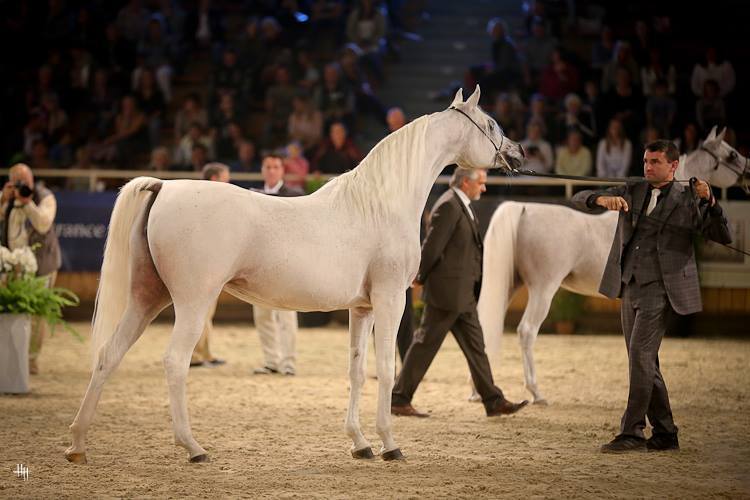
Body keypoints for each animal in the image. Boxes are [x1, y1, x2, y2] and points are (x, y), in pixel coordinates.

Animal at [64, 85, 525, 464]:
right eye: (490, 124)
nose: (518, 152)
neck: (381, 203)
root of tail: (164, 187)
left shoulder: (362, 308)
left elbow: (357, 370)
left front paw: (360, 444)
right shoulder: (391, 298)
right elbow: (387, 368)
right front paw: (390, 445)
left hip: (147, 297)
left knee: (108, 355)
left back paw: (78, 445)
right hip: (193, 302)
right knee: (175, 362)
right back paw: (193, 448)